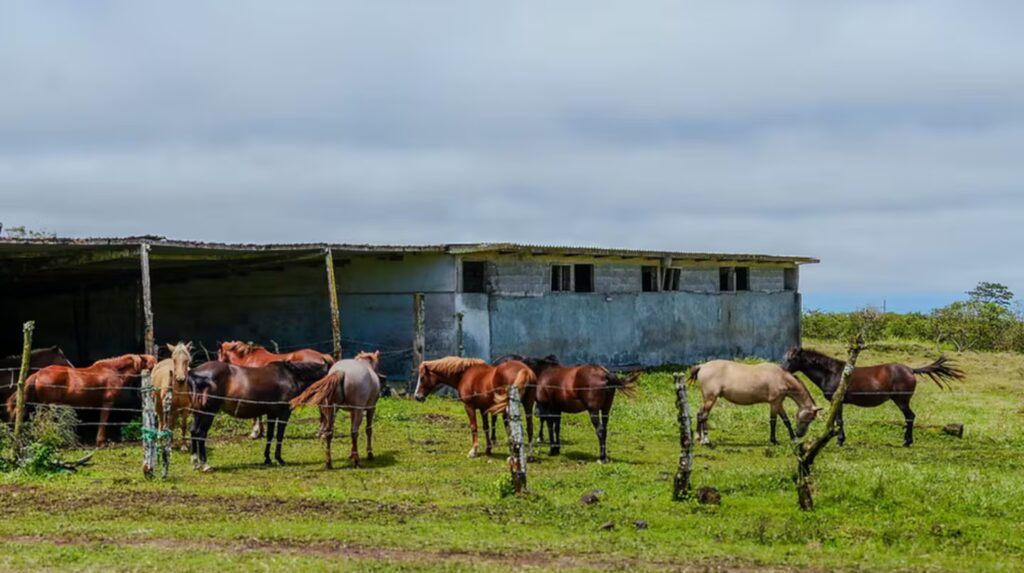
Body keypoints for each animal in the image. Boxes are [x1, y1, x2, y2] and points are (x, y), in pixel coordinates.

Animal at [7, 354, 156, 447]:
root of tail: (38, 373)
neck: (113, 371)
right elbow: (103, 421)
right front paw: (101, 442)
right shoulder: (107, 403)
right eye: (150, 365)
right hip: (47, 407)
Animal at [186, 360, 328, 471]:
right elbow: (279, 435)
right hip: (208, 412)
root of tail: (195, 372)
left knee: (194, 431)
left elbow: (270, 435)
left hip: (199, 413)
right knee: (201, 433)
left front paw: (267, 459)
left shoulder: (271, 413)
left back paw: (195, 463)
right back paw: (205, 465)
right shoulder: (284, 413)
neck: (291, 375)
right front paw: (279, 459)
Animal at [497, 356, 638, 463]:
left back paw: (602, 458)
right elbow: (557, 428)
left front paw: (552, 450)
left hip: (593, 411)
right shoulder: (557, 409)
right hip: (605, 410)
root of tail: (605, 374)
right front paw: (557, 449)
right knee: (605, 429)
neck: (543, 373)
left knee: (600, 430)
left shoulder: (548, 407)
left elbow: (550, 426)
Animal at [688, 360, 823, 446]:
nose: (800, 434)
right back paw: (705, 440)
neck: (781, 377)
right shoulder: (774, 403)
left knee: (699, 414)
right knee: (704, 416)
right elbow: (773, 421)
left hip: (707, 399)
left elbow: (786, 421)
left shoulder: (779, 403)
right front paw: (774, 441)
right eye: (810, 417)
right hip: (711, 399)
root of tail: (702, 366)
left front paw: (794, 440)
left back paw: (698, 437)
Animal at [781, 347, 965, 447]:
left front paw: (839, 441)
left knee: (910, 417)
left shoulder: (838, 401)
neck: (833, 373)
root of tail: (910, 370)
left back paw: (907, 441)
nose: (782, 370)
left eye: (792, 359)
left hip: (901, 400)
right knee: (909, 418)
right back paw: (907, 441)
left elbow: (839, 421)